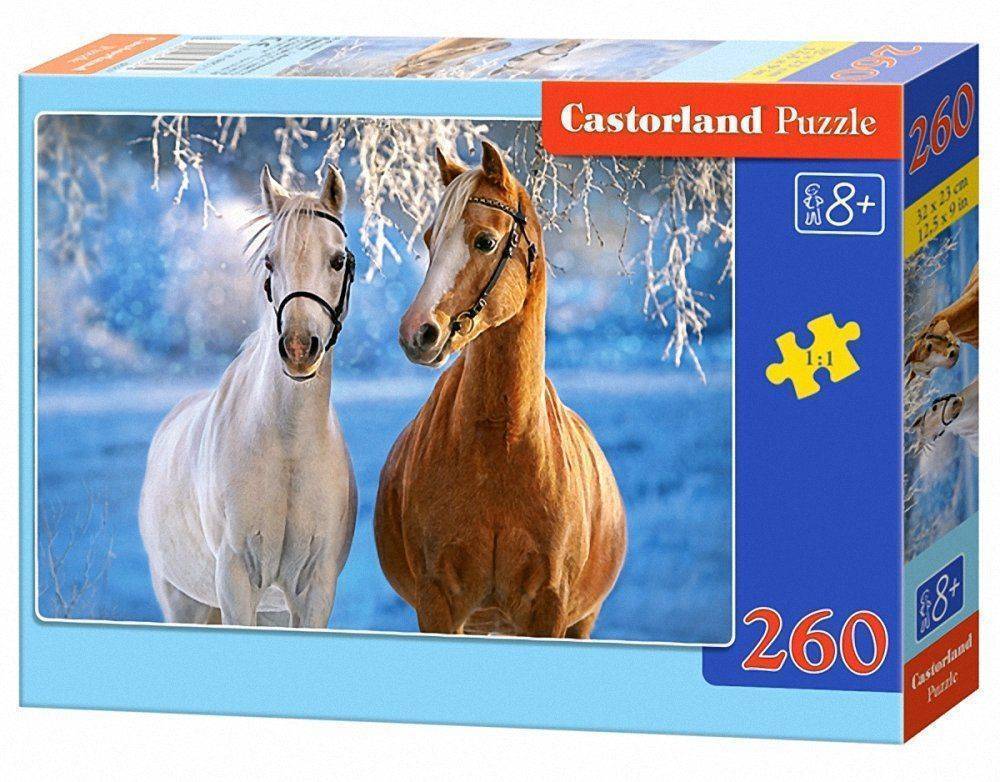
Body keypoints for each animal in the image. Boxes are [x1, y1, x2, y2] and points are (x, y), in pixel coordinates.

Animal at [139, 165, 358, 627]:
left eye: (337, 260)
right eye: (270, 260)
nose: (298, 347)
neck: (288, 448)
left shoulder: (314, 590)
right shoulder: (237, 582)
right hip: (184, 602)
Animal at [373, 141, 627, 639]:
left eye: (485, 242)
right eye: (429, 240)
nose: (417, 333)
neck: (500, 447)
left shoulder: (550, 609)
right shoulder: (438, 605)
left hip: (581, 621)